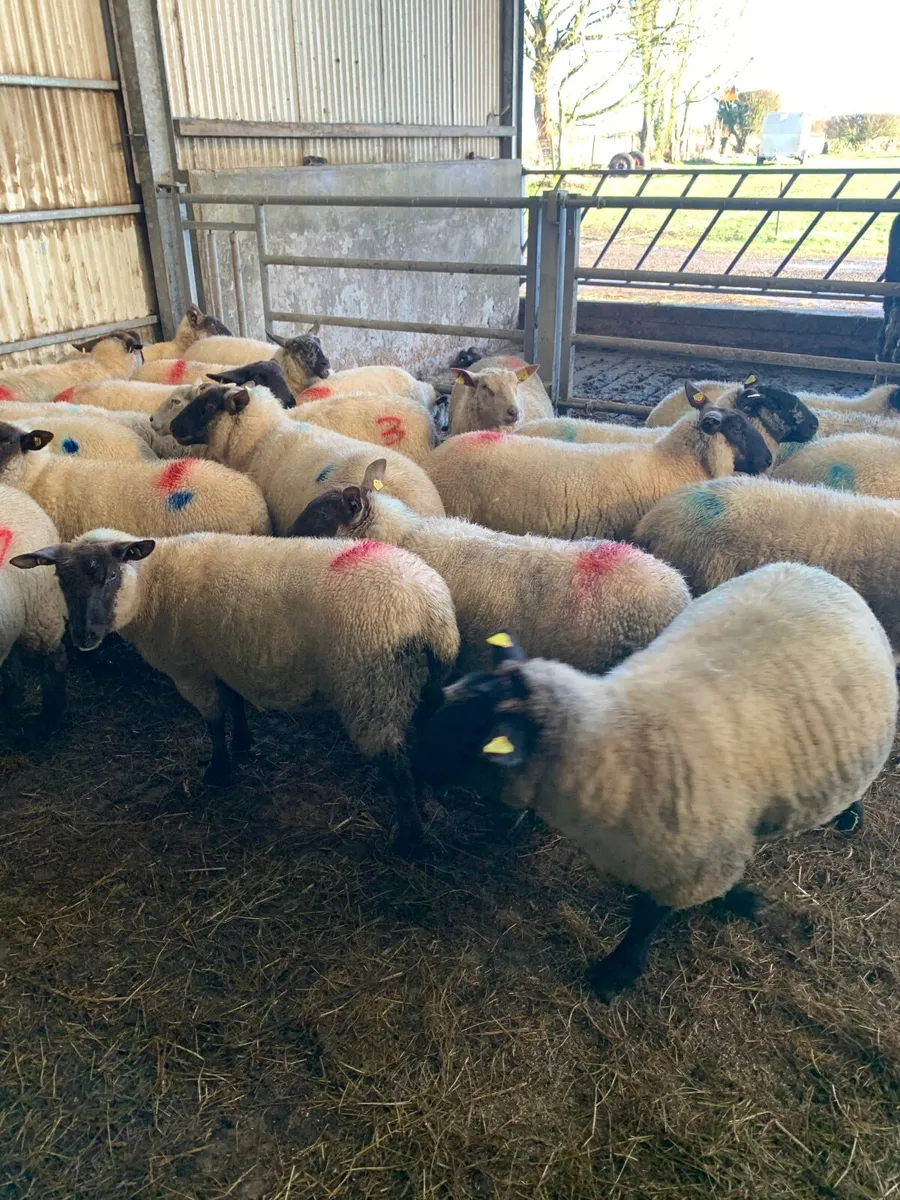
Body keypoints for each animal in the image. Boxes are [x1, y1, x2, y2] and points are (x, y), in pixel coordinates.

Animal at [13, 528, 460, 853]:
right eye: (61, 581)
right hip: (417, 688)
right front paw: (243, 743)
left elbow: (213, 720)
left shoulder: (191, 670)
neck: (151, 585)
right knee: (418, 747)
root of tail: (431, 612)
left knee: (395, 763)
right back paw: (428, 802)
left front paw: (219, 771)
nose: (83, 637)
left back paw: (409, 841)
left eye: (108, 575)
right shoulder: (225, 658)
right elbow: (236, 704)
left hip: (372, 688)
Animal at [415, 562, 897, 999]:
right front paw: (732, 899)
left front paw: (616, 973)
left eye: (466, 737)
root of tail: (819, 571)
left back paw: (850, 817)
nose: (412, 760)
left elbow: (648, 918)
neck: (617, 741)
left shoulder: (693, 859)